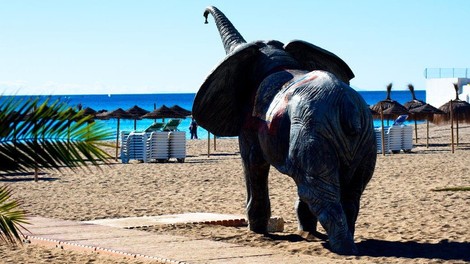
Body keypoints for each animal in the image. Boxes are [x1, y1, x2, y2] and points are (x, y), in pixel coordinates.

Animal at [193, 5, 376, 254]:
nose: (203, 16)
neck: (278, 59)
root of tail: (348, 108)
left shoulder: (250, 123)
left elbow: (253, 162)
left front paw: (257, 230)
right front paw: (307, 233)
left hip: (312, 132)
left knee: (316, 191)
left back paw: (342, 248)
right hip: (363, 138)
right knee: (350, 191)